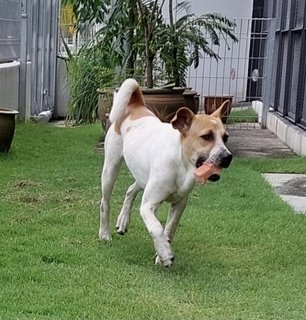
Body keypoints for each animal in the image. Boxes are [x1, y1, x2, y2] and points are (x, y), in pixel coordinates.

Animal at [98, 79, 232, 266]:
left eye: (225, 137)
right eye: (207, 136)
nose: (228, 157)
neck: (181, 165)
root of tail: (135, 107)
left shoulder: (179, 204)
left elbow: (169, 229)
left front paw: (161, 252)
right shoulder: (148, 205)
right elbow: (156, 227)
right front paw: (165, 254)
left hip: (143, 176)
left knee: (131, 190)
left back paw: (123, 220)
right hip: (111, 168)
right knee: (105, 203)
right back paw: (104, 233)